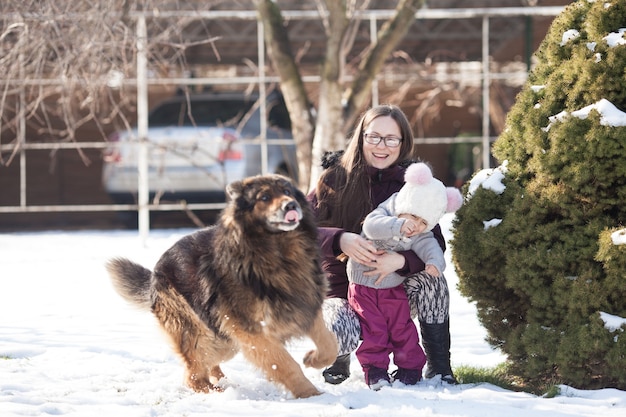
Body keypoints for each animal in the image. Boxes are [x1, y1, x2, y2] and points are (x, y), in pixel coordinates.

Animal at [106, 174, 336, 398]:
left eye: (287, 191)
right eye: (264, 197)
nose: (291, 206)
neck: (277, 253)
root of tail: (155, 272)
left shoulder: (305, 306)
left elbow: (329, 344)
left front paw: (313, 359)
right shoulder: (254, 333)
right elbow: (285, 363)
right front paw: (310, 394)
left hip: (224, 340)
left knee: (206, 366)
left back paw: (222, 381)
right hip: (201, 335)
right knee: (193, 376)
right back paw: (217, 392)